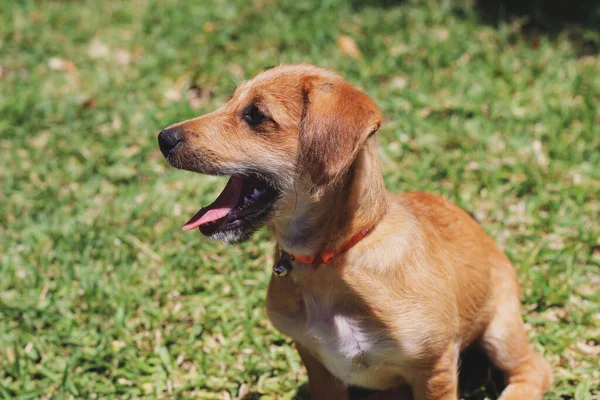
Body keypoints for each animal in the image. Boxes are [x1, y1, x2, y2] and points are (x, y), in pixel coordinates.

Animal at [158, 64, 552, 398]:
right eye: (230, 101)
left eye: (255, 115)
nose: (163, 138)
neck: (330, 260)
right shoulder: (318, 364)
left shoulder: (434, 365)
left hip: (500, 328)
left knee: (535, 369)